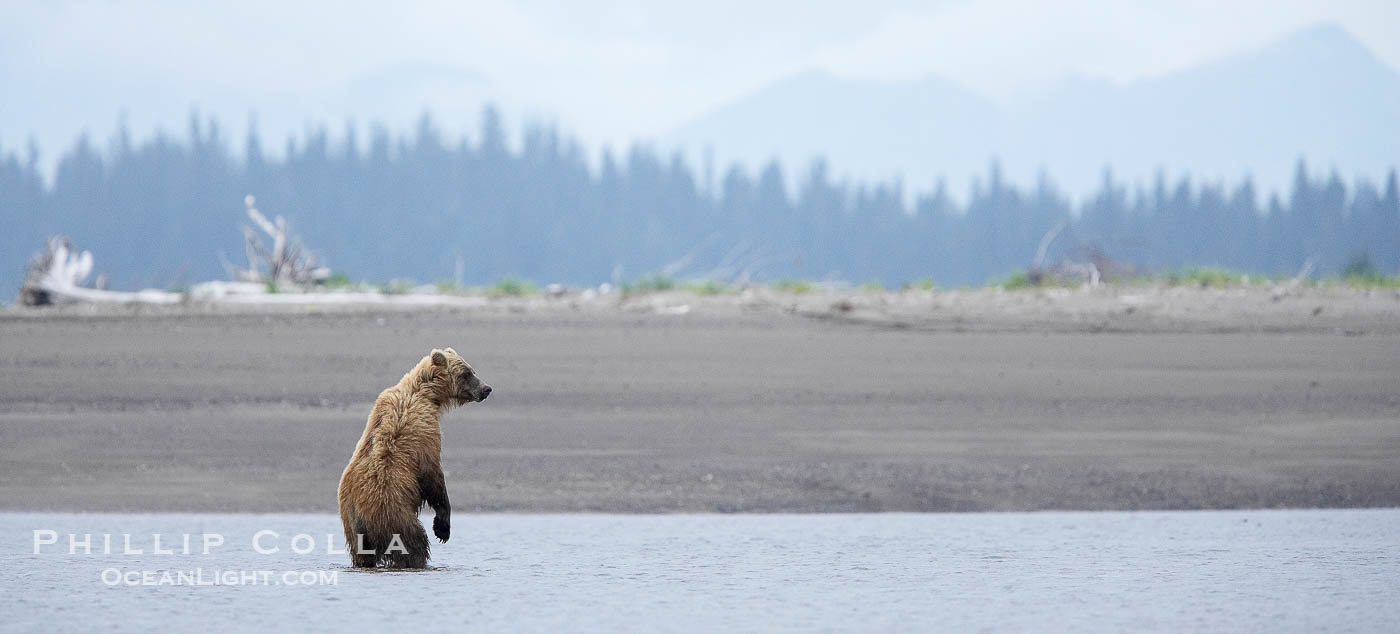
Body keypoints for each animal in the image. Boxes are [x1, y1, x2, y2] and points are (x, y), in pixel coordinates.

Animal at [338, 347, 491, 568]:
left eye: (472, 370)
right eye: (467, 373)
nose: (487, 389)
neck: (426, 394)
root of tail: (360, 513)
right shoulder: (423, 432)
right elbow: (433, 477)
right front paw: (442, 528)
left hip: (353, 527)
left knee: (362, 554)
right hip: (393, 511)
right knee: (413, 542)